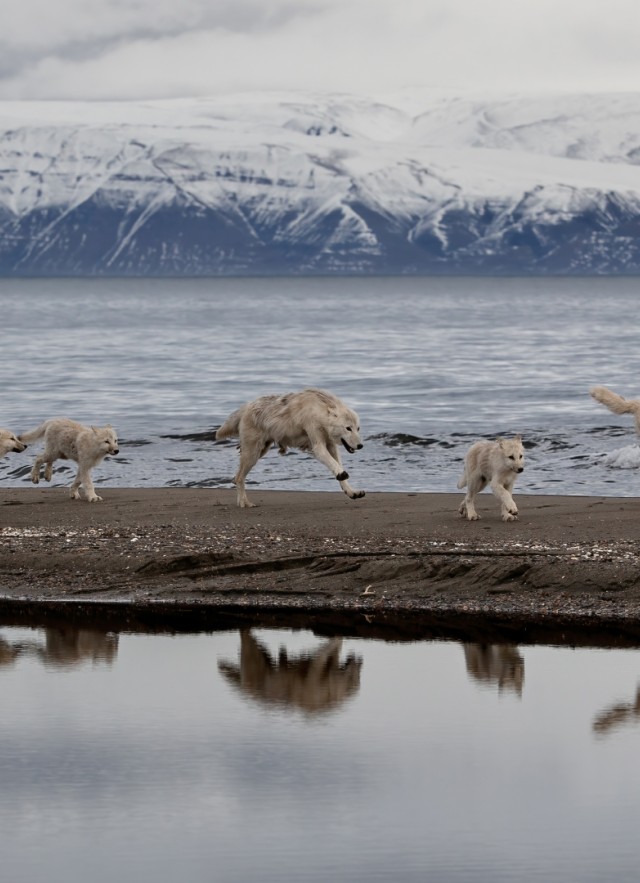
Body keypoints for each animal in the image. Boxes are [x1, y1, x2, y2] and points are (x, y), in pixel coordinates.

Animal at [216, 388, 362, 508]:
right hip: (252, 455)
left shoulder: (331, 446)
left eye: (358, 428)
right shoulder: (318, 447)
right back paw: (244, 503)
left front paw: (351, 492)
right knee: (239, 478)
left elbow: (338, 466)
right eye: (348, 428)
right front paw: (341, 474)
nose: (360, 446)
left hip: (260, 451)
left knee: (236, 477)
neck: (320, 410)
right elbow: (336, 466)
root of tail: (246, 406)